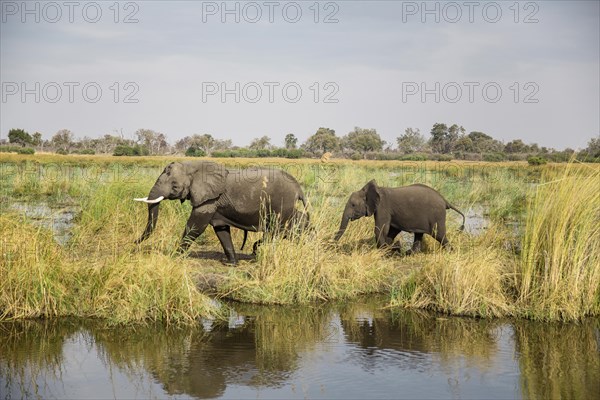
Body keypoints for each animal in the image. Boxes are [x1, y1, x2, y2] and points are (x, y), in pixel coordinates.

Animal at [134, 161, 308, 264]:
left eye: (175, 186)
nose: (134, 242)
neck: (193, 165)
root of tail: (299, 188)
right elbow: (221, 230)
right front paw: (232, 264)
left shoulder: (209, 200)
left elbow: (196, 225)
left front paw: (174, 256)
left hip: (282, 204)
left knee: (279, 229)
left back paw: (257, 250)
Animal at [336, 180, 466, 253]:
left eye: (353, 205)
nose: (333, 246)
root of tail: (445, 201)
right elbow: (392, 230)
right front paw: (389, 249)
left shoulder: (383, 207)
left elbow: (380, 229)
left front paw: (385, 251)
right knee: (419, 234)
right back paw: (410, 253)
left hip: (437, 215)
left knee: (439, 234)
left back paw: (451, 252)